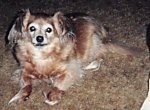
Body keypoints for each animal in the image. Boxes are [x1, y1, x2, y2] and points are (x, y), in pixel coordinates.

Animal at [6, 9, 134, 105]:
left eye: (49, 30)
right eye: (32, 28)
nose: (39, 38)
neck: (42, 55)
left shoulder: (70, 71)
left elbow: (58, 85)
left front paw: (53, 96)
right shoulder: (24, 71)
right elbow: (26, 85)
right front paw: (19, 96)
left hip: (92, 45)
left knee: (99, 57)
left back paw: (89, 65)